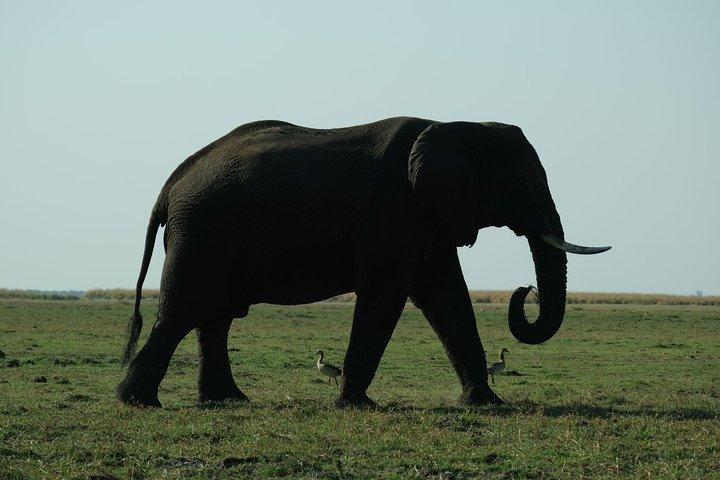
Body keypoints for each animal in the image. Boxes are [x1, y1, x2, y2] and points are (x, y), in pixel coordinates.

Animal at [116, 117, 610, 408]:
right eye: (526, 181)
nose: (524, 289)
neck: (455, 125)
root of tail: (170, 184)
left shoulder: (426, 217)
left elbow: (448, 296)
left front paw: (487, 404)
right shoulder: (392, 211)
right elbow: (387, 296)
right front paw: (357, 406)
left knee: (214, 318)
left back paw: (228, 401)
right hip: (202, 231)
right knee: (181, 313)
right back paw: (137, 403)